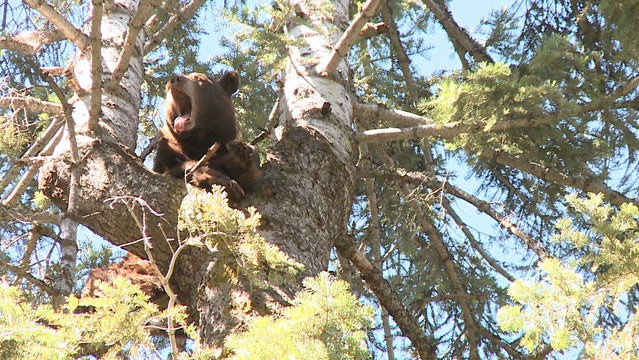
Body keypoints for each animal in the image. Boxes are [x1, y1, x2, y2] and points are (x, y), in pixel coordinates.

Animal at [154, 70, 262, 200]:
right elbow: (168, 169)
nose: (175, 79)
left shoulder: (223, 146)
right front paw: (218, 178)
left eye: (199, 79)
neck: (198, 137)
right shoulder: (169, 147)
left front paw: (241, 154)